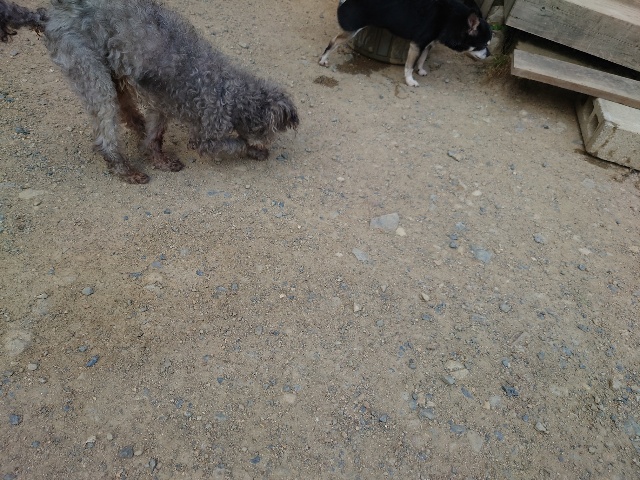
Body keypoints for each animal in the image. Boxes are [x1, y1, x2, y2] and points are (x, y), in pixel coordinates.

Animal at [0, 0, 299, 184]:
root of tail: (47, 15)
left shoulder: (161, 104)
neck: (229, 91)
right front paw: (253, 150)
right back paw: (125, 169)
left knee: (127, 111)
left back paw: (138, 132)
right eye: (270, 132)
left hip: (115, 73)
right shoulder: (207, 137)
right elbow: (234, 144)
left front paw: (159, 159)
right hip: (91, 74)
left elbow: (155, 136)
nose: (268, 142)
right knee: (105, 135)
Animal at [319, 0, 492, 87]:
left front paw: (420, 70)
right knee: (333, 42)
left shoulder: (427, 44)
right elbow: (409, 66)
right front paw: (410, 80)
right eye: (483, 45)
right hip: (351, 31)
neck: (453, 20)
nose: (490, 55)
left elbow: (422, 59)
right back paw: (323, 60)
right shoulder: (417, 45)